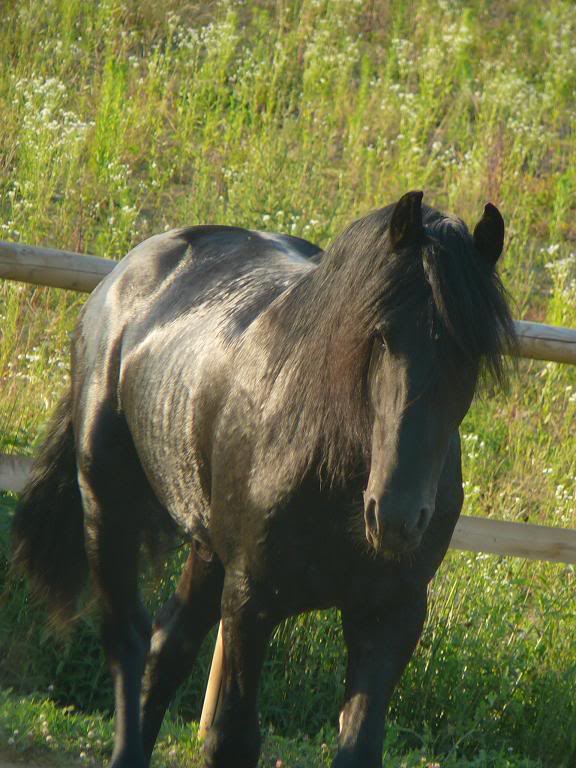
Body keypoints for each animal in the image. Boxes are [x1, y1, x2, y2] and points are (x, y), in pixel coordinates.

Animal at [12, 189, 512, 764]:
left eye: (469, 351)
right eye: (381, 335)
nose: (397, 518)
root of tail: (129, 271)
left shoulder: (392, 614)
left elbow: (359, 745)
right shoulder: (251, 603)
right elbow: (231, 738)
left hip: (208, 547)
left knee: (169, 643)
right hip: (106, 509)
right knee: (128, 638)